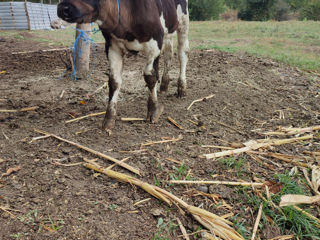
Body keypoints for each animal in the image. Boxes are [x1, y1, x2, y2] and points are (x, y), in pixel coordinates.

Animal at [57, 0, 189, 135]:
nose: (63, 8)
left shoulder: (155, 42)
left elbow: (150, 77)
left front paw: (153, 110)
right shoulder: (112, 46)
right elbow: (114, 82)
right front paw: (109, 120)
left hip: (183, 22)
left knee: (182, 54)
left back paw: (181, 88)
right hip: (169, 31)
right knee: (168, 54)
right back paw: (164, 85)